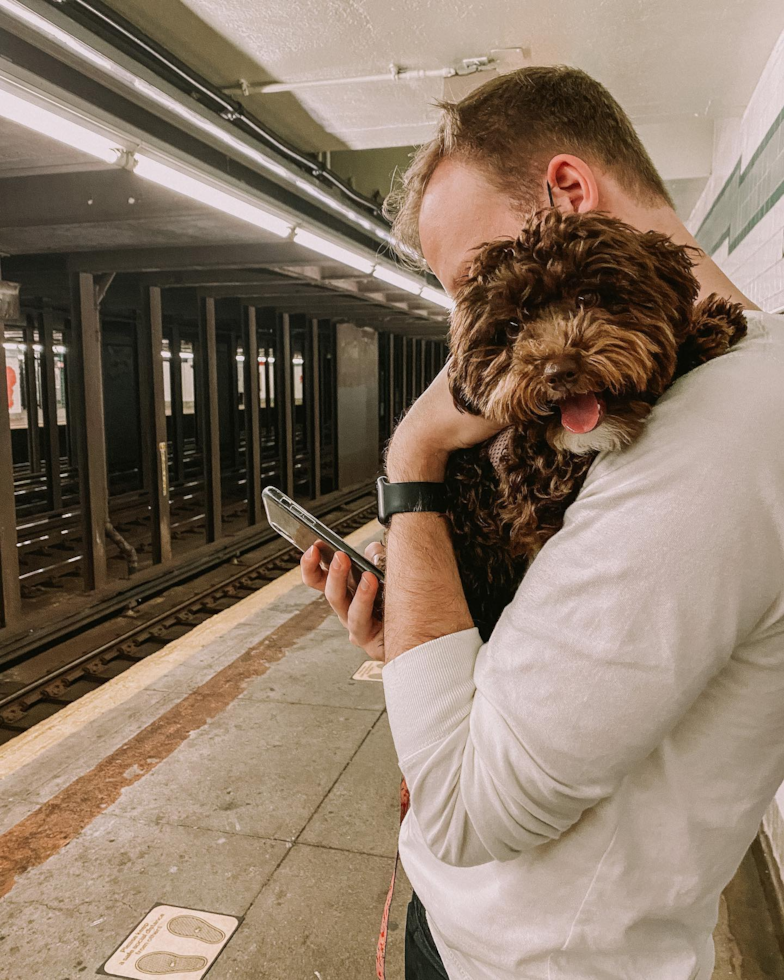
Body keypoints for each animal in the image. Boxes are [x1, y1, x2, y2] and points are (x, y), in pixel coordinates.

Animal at [440, 210, 748, 640]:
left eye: (586, 297)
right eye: (513, 327)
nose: (559, 371)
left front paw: (707, 325)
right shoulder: (534, 485)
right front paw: (703, 328)